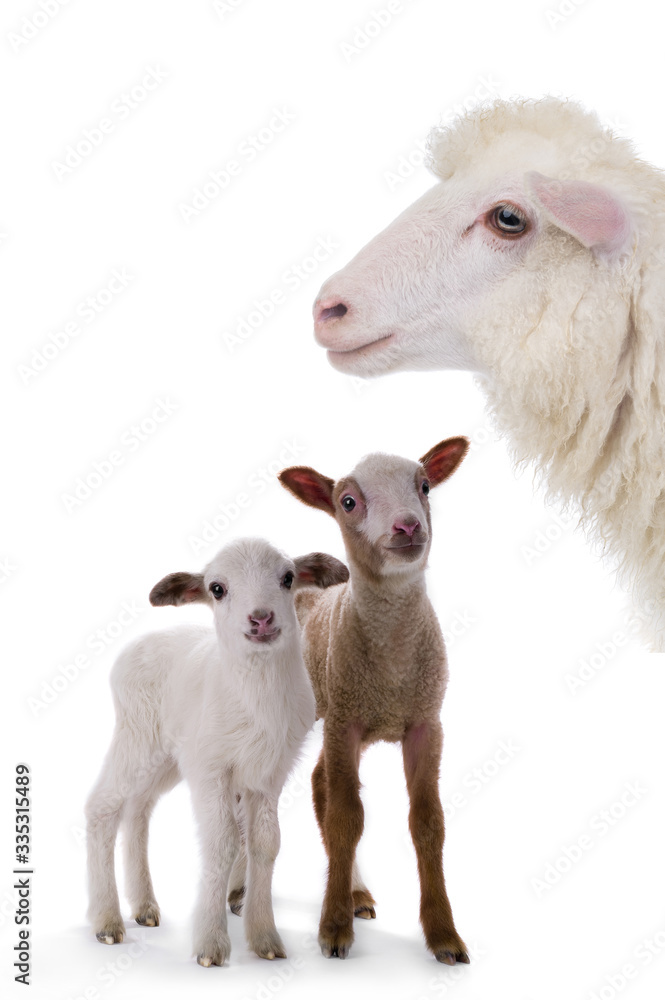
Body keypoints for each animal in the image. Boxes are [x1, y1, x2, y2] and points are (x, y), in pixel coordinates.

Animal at [85, 537, 348, 967]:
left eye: (288, 578)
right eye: (217, 589)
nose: (261, 619)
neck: (256, 696)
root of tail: (138, 644)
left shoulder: (268, 775)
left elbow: (266, 843)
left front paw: (265, 938)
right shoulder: (211, 768)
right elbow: (221, 842)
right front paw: (210, 944)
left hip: (167, 759)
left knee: (138, 809)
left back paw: (144, 907)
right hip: (137, 736)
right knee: (103, 807)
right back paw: (106, 920)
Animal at [278, 436, 470, 965]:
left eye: (424, 486)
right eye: (348, 502)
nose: (408, 526)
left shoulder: (426, 721)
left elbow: (428, 823)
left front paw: (444, 934)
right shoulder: (344, 721)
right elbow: (347, 818)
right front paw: (333, 928)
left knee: (319, 783)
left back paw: (355, 891)